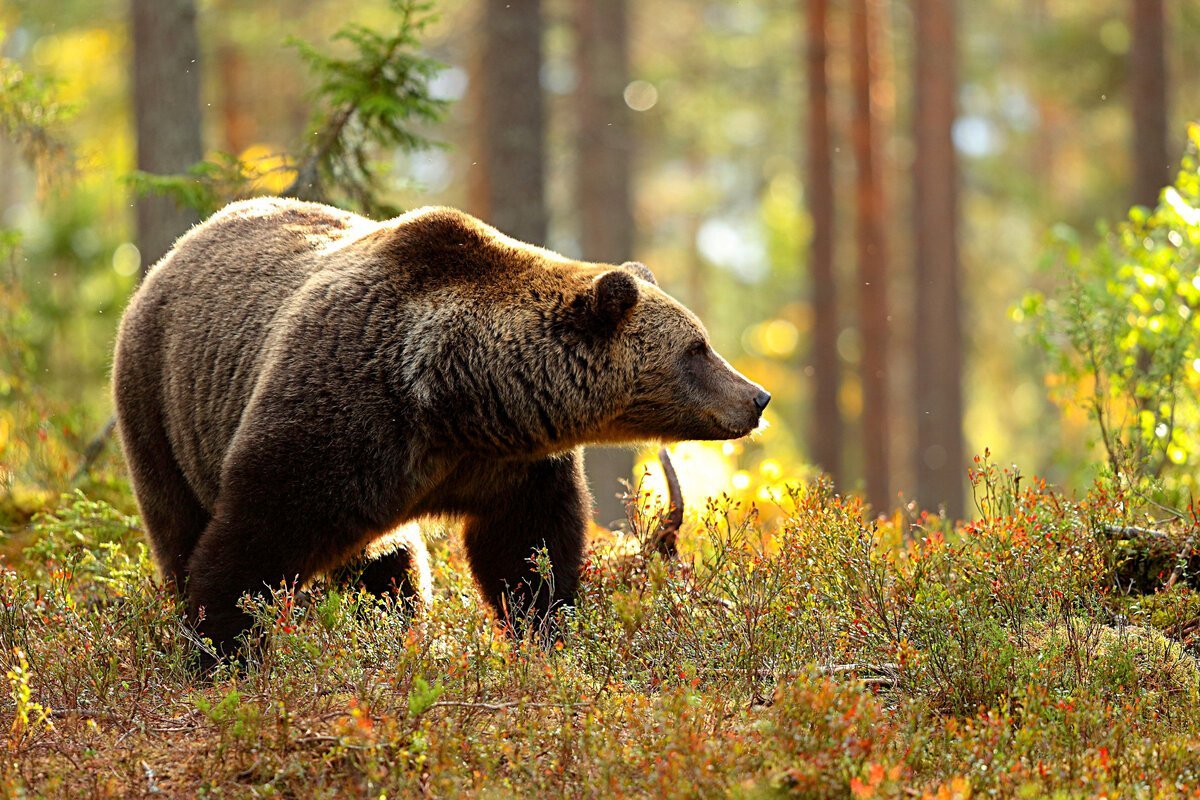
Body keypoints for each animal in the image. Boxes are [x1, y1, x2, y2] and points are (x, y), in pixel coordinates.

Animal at [112, 199, 768, 657]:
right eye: (697, 348)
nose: (757, 398)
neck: (456, 397)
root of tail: (173, 252)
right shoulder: (341, 412)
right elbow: (256, 533)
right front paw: (222, 645)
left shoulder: (509, 465)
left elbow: (525, 550)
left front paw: (546, 629)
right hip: (160, 405)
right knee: (177, 521)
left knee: (389, 565)